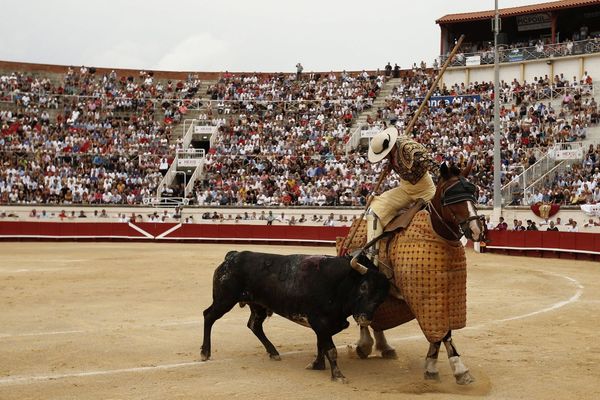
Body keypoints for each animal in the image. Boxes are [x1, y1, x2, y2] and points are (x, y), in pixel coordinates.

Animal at [202, 252, 390, 382]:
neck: (340, 284)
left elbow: (321, 345)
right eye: (363, 286)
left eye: (382, 298)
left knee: (254, 325)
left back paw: (273, 353)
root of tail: (233, 256)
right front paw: (338, 375)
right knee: (208, 316)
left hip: (258, 305)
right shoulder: (321, 323)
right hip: (224, 300)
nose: (365, 318)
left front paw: (317, 365)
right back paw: (205, 352)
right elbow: (330, 349)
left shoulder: (324, 326)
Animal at [350, 162, 486, 384]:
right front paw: (458, 369)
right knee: (365, 314)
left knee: (379, 317)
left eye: (474, 193)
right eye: (451, 197)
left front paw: (433, 365)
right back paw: (364, 345)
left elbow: (441, 332)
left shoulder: (445, 293)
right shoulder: (427, 295)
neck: (438, 231)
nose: (476, 230)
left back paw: (385, 347)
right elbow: (444, 333)